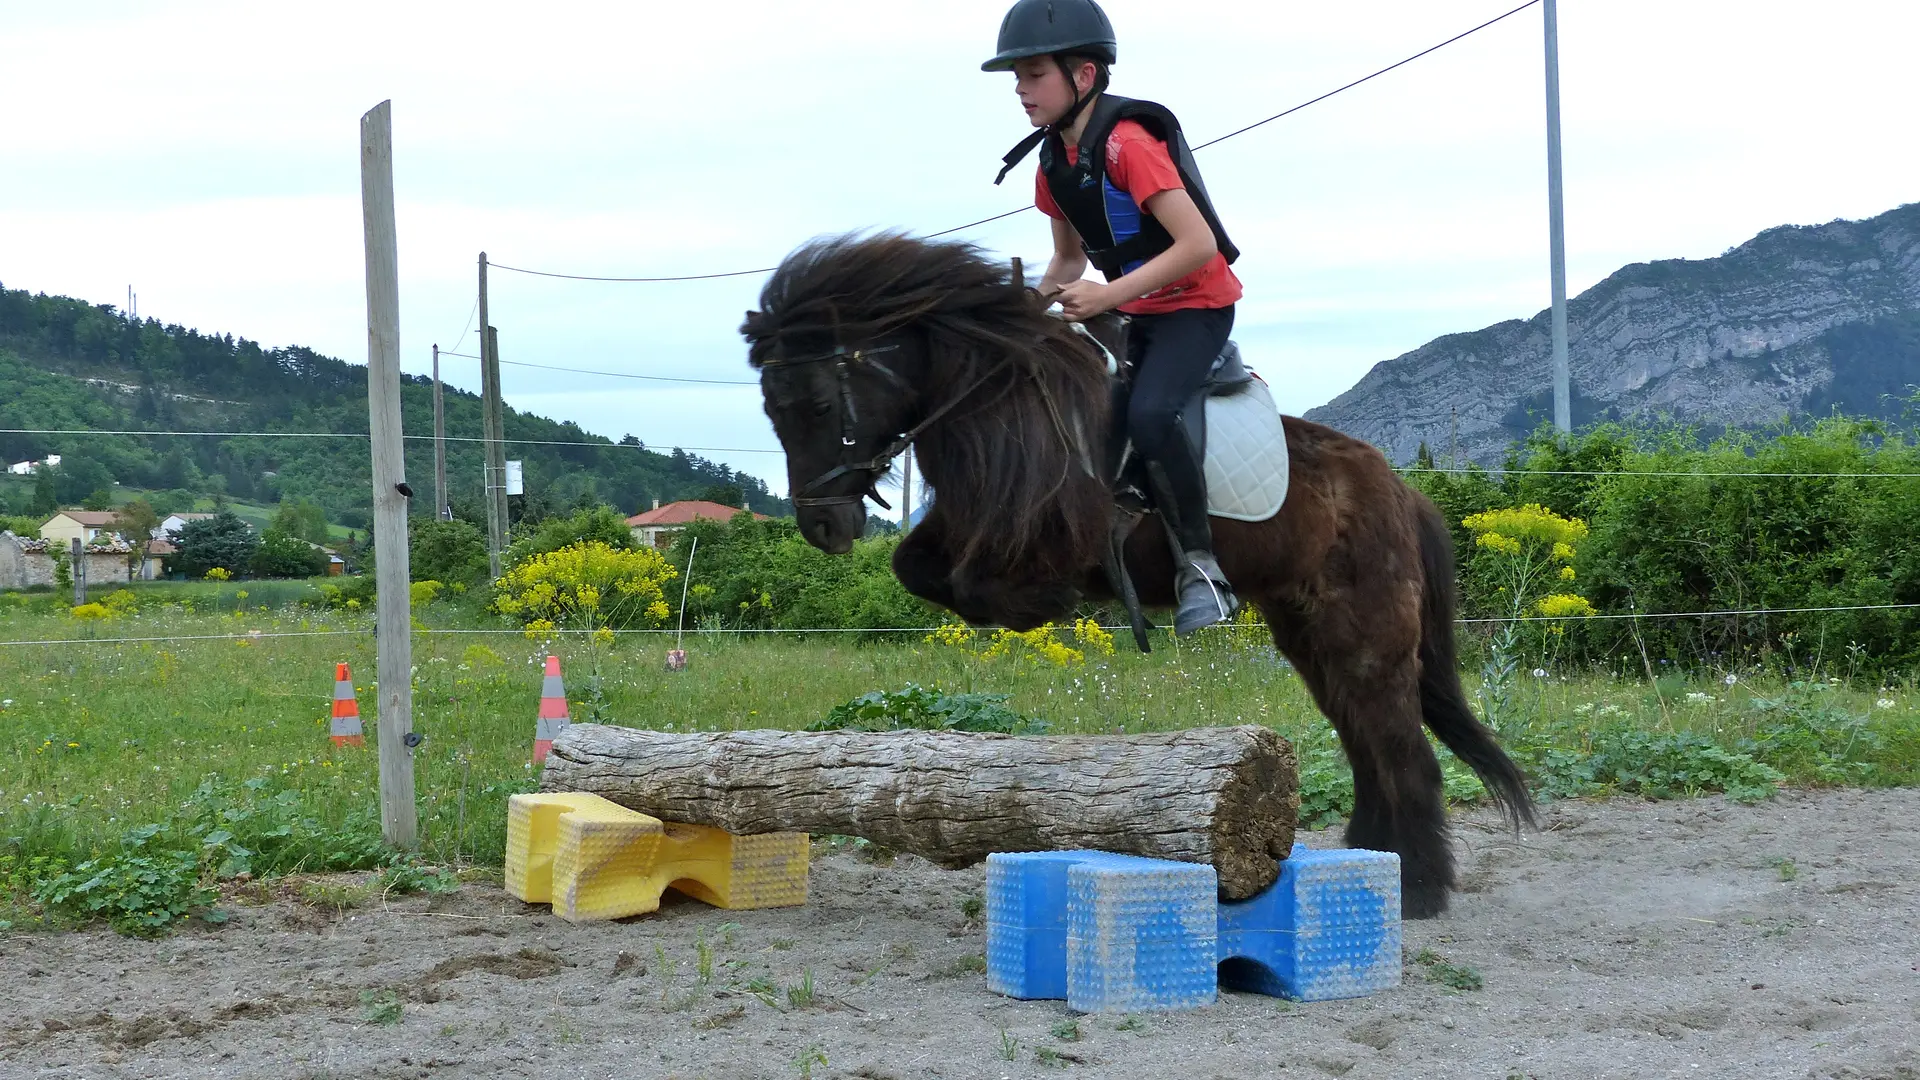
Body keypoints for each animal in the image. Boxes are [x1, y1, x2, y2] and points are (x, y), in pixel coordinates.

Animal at [741, 231, 1536, 910]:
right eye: (771, 411)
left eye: (817, 403)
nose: (822, 527)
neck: (996, 393)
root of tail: (1400, 491)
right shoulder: (964, 525)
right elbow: (920, 570)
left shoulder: (1056, 537)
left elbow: (983, 585)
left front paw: (1046, 606)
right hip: (1312, 636)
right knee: (1367, 746)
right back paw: (1373, 863)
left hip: (1366, 635)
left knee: (1404, 753)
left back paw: (1417, 888)